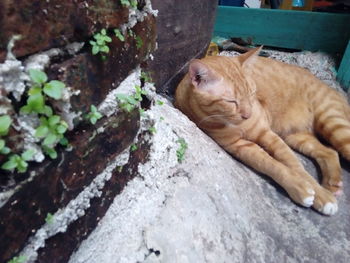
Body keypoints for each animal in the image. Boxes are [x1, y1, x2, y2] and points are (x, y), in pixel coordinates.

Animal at [175, 47, 350, 217]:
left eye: (252, 93)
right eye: (231, 102)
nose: (248, 115)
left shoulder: (268, 135)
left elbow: (296, 166)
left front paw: (320, 194)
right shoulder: (241, 147)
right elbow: (271, 165)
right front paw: (300, 187)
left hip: (333, 121)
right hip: (296, 136)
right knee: (329, 152)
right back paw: (333, 184)